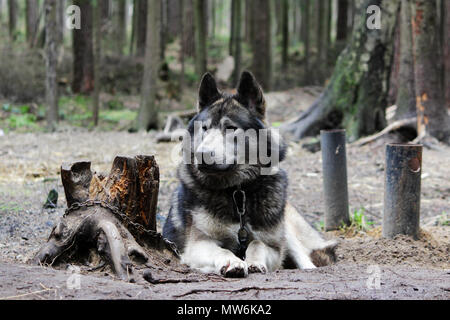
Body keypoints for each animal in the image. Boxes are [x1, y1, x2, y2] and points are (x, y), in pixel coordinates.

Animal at [163, 71, 336, 276]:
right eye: (204, 128)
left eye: (230, 128)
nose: (201, 154)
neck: (237, 192)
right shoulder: (197, 244)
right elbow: (222, 250)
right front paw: (233, 261)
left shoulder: (274, 247)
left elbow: (257, 243)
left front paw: (253, 261)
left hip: (287, 231)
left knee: (305, 258)